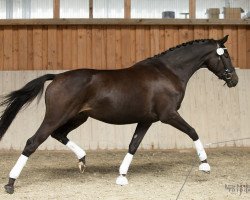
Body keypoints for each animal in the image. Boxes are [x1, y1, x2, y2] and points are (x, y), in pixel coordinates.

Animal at [0, 35, 238, 193]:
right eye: (225, 54)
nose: (234, 80)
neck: (168, 72)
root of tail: (57, 77)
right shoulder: (168, 115)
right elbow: (193, 132)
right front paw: (205, 165)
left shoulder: (146, 120)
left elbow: (133, 145)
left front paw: (122, 176)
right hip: (56, 116)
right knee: (33, 142)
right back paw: (11, 183)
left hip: (78, 117)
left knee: (58, 135)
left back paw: (82, 159)